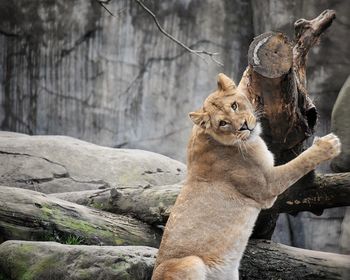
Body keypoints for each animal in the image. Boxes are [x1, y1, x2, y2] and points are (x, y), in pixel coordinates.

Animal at [151, 73, 342, 278]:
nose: (243, 126)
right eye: (223, 123)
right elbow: (299, 163)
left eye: (234, 105)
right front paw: (328, 145)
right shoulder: (267, 185)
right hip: (190, 262)